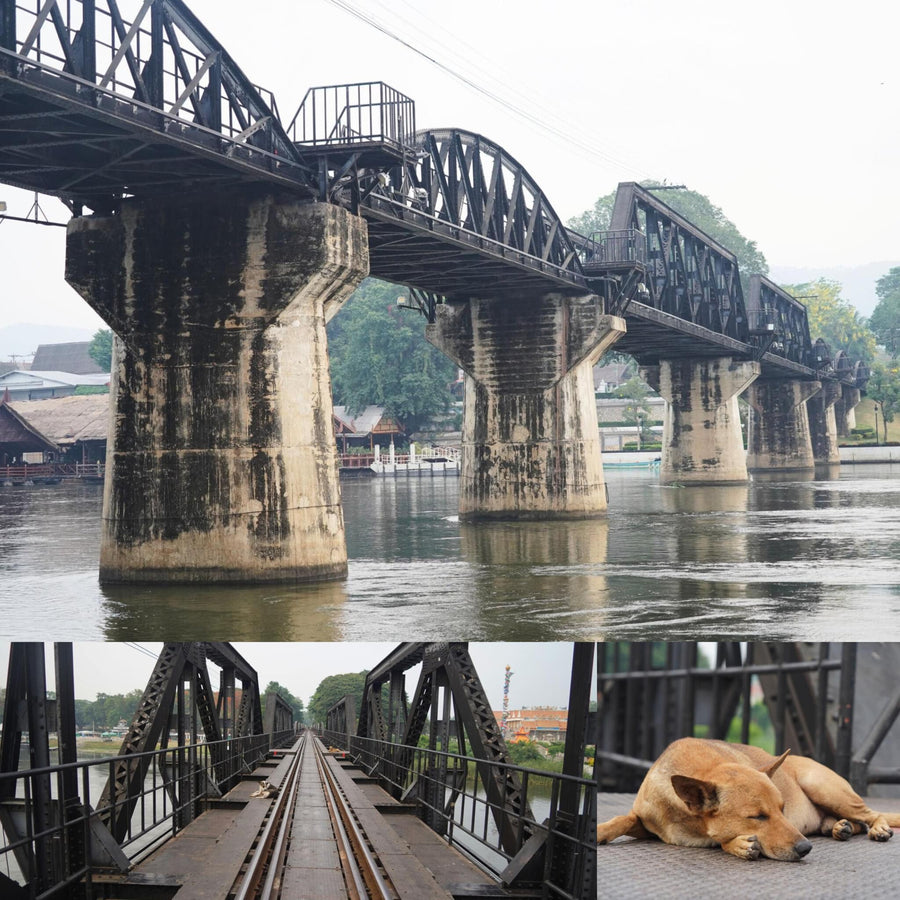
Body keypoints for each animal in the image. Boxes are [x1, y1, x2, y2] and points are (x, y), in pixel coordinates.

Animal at [596, 740, 900, 860]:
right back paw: (839, 827)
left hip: (823, 786)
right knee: (851, 822)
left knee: (870, 814)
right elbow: (624, 818)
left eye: (783, 809)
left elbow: (721, 839)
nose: (805, 848)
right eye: (757, 816)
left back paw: (877, 827)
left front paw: (739, 844)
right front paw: (601, 830)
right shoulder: (646, 821)